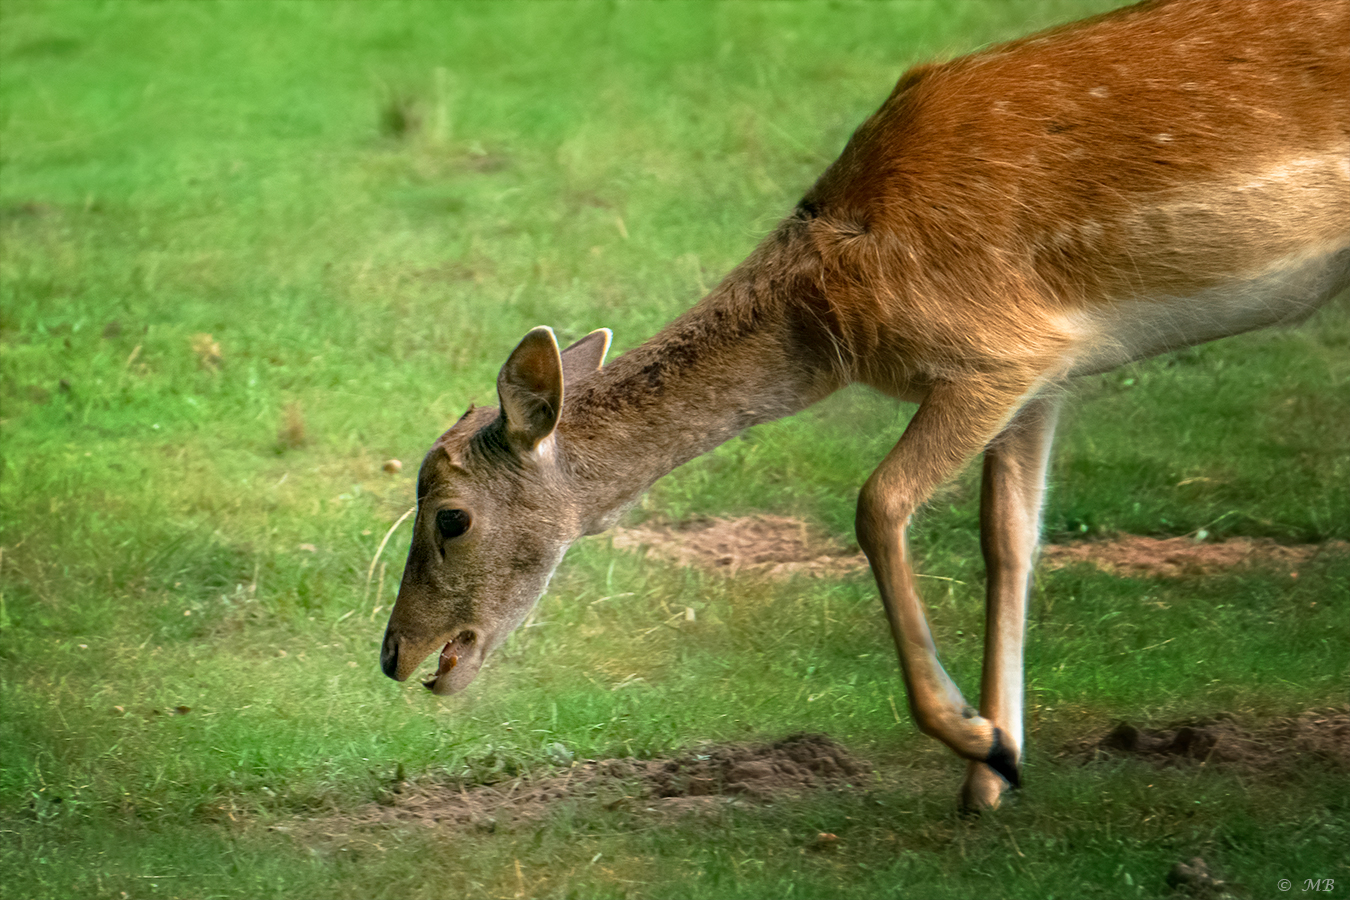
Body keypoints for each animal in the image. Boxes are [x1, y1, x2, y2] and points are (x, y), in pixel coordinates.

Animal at [383, 0, 1350, 814]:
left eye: (450, 517)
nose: (394, 656)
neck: (831, 316)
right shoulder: (1047, 371)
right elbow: (1012, 538)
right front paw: (995, 771)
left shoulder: (1001, 350)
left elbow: (878, 503)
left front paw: (975, 742)